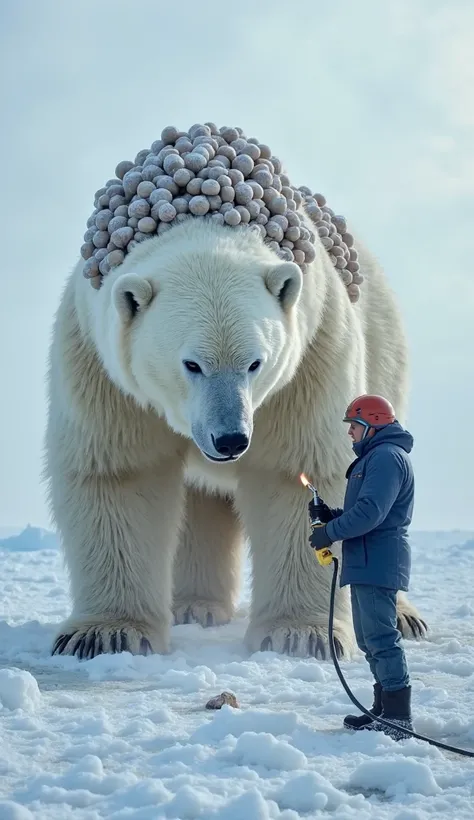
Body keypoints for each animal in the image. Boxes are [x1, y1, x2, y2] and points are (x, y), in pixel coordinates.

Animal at [45, 147, 426, 664]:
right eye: (191, 364)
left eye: (254, 362)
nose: (230, 440)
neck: (202, 212)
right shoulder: (101, 367)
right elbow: (119, 473)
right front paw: (104, 635)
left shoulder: (310, 357)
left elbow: (297, 468)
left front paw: (301, 635)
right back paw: (194, 606)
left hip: (384, 355)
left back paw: (405, 617)